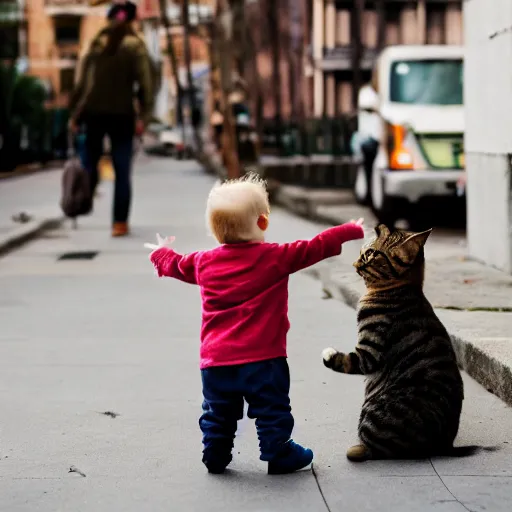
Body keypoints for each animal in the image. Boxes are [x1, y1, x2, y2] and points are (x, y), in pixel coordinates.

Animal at [324, 226, 484, 462]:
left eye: (369, 253)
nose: (355, 263)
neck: (401, 289)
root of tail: (443, 447)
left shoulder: (369, 353)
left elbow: (346, 361)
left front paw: (328, 354)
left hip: (374, 414)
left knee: (374, 451)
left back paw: (356, 449)